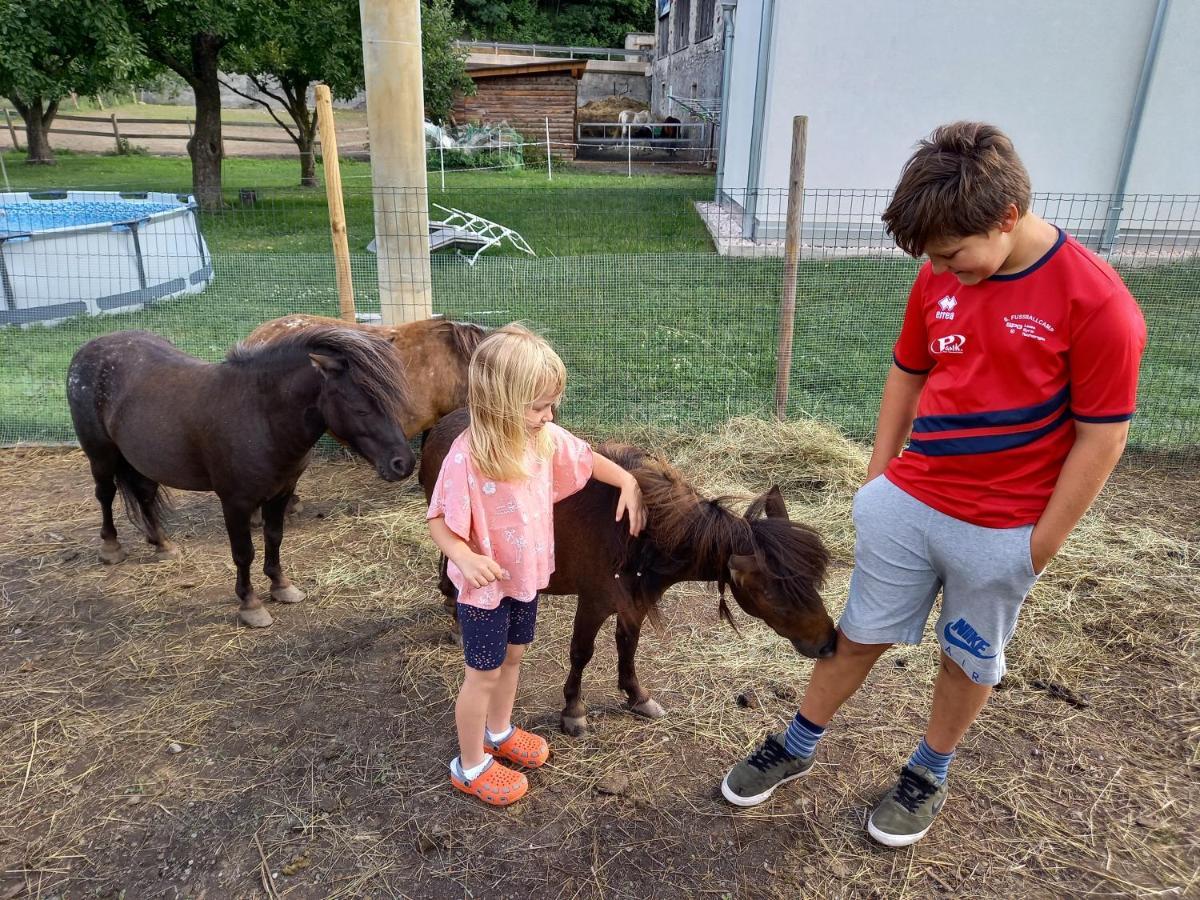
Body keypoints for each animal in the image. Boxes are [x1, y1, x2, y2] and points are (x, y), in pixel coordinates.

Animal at [70, 328, 420, 628]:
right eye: (360, 407)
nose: (403, 463)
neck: (260, 414)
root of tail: (90, 348)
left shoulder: (282, 492)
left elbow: (274, 538)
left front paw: (281, 586)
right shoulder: (236, 503)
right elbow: (244, 552)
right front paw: (250, 604)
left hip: (142, 461)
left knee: (143, 494)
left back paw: (163, 545)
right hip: (101, 456)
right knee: (105, 494)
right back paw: (111, 547)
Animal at [422, 412, 835, 734]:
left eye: (812, 582)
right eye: (771, 594)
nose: (828, 643)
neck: (636, 532)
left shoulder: (634, 601)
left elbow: (628, 645)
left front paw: (637, 697)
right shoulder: (593, 602)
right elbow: (581, 653)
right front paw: (573, 711)